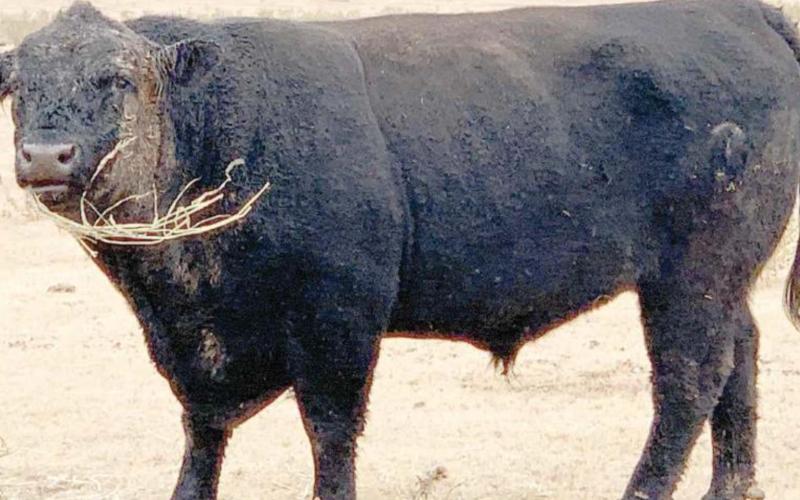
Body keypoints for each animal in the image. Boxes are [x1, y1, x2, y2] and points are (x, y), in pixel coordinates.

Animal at [2, 0, 800, 498]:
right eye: (17, 87)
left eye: (117, 78)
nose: (46, 156)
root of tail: (745, 15)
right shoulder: (194, 344)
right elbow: (203, 429)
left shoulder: (338, 322)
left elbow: (330, 433)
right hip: (722, 279)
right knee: (740, 356)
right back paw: (731, 487)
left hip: (692, 277)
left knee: (689, 384)